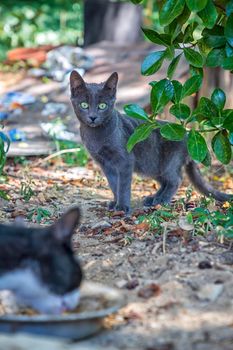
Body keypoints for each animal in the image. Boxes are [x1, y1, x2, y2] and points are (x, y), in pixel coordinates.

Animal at [70, 71, 232, 213]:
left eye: (102, 106)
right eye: (84, 105)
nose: (92, 117)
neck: (96, 136)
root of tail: (187, 133)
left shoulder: (125, 161)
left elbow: (122, 185)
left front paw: (122, 207)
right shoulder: (105, 164)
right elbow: (113, 183)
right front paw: (115, 202)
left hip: (168, 162)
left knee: (175, 179)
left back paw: (162, 200)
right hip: (152, 165)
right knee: (165, 181)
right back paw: (153, 198)